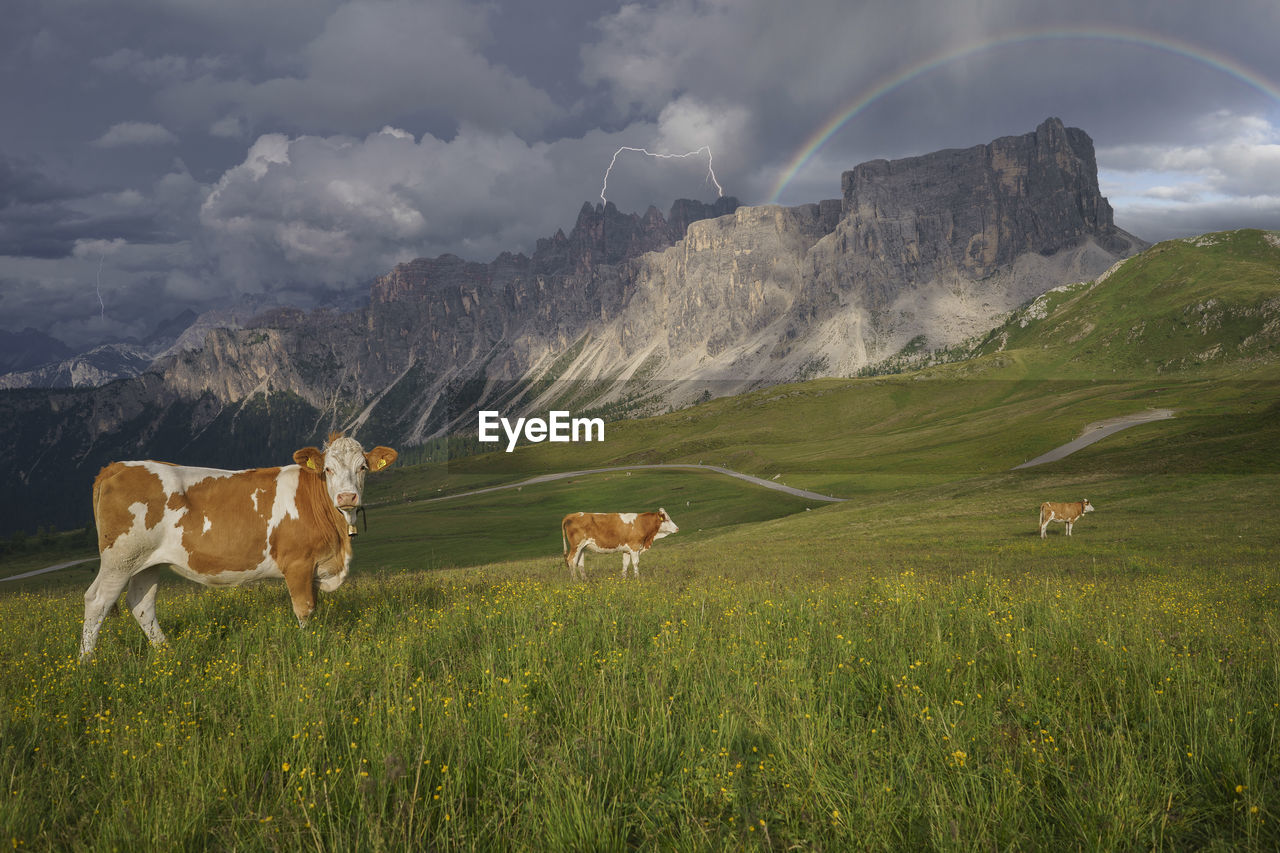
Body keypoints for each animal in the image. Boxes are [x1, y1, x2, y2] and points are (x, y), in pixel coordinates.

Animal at [80, 432, 394, 655]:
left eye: (363, 467)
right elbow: (305, 609)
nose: (347, 497)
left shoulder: (315, 566)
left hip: (146, 562)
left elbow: (313, 607)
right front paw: (308, 646)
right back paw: (86, 663)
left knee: (141, 604)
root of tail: (117, 466)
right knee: (98, 601)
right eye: (328, 469)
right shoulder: (298, 563)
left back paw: (167, 653)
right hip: (120, 559)